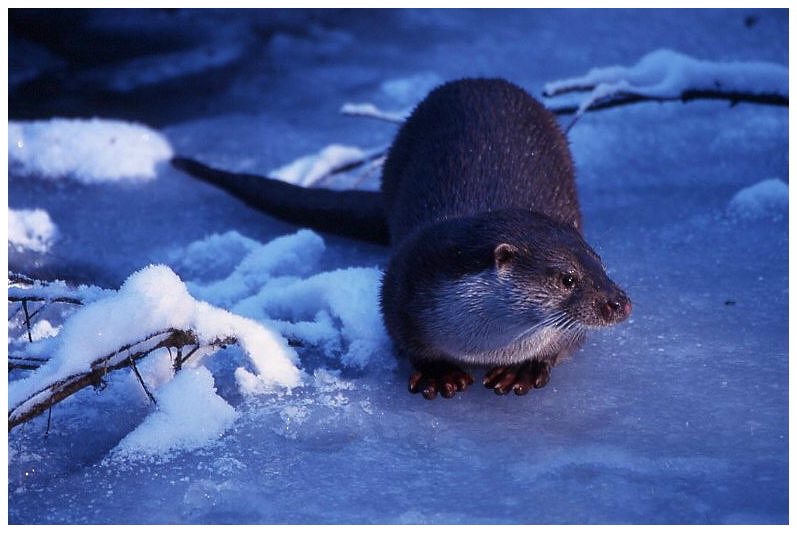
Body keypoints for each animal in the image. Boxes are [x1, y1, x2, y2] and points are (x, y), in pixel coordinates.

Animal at [171, 76, 632, 400]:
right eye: (567, 278)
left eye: (600, 263)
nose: (619, 302)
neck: (487, 346)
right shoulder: (402, 284)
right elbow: (405, 339)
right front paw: (438, 373)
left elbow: (566, 345)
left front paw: (527, 368)